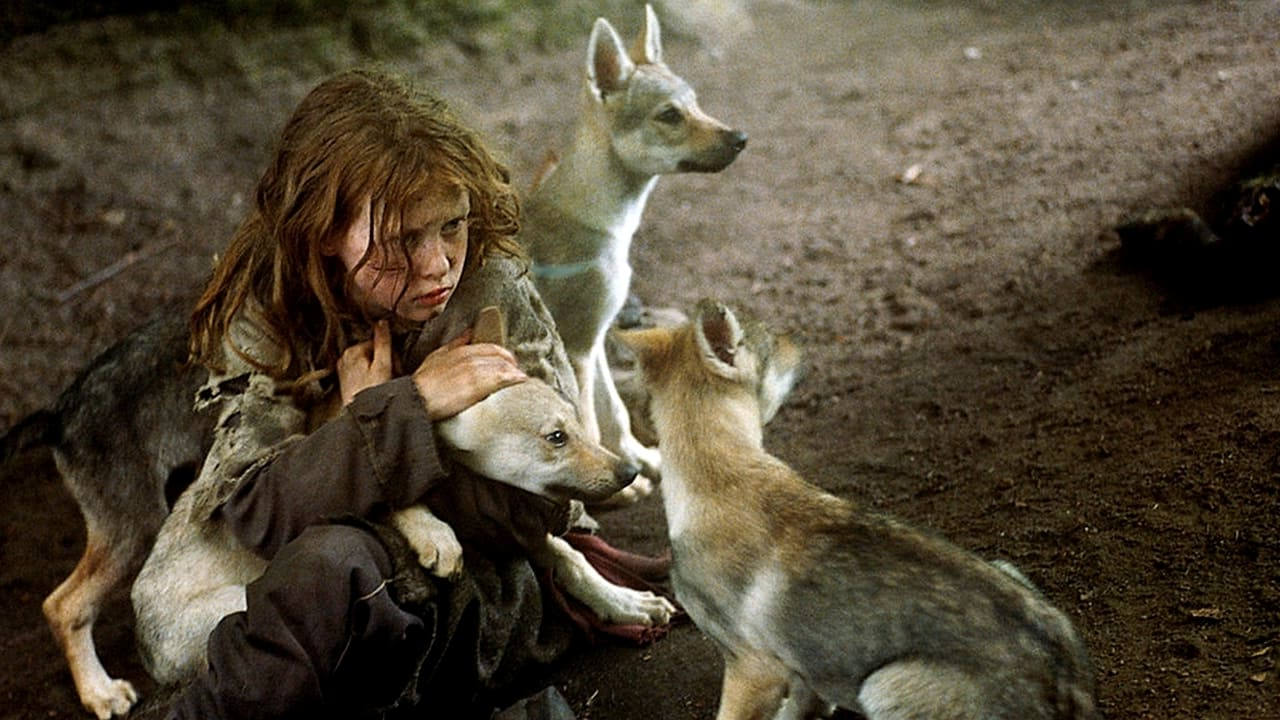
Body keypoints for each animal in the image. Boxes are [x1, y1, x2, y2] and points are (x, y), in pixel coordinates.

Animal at [522, 4, 747, 497]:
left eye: (696, 103)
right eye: (669, 115)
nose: (741, 138)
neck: (606, 224)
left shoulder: (597, 338)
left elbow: (615, 416)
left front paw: (639, 463)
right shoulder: (578, 345)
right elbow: (587, 422)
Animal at [617, 300, 1100, 720]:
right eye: (774, 341)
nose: (801, 337)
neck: (722, 473)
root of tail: (1068, 685)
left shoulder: (753, 670)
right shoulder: (798, 667)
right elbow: (802, 708)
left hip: (883, 686)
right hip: (1008, 569)